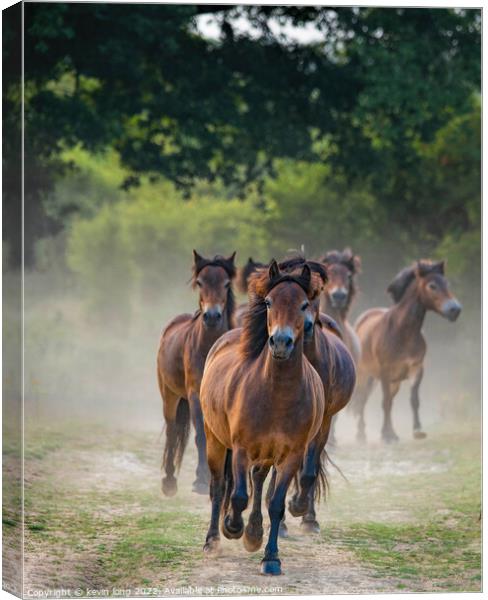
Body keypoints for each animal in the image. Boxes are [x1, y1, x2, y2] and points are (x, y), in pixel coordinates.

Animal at [157, 251, 235, 494]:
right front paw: (201, 478)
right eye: (200, 282)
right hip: (169, 395)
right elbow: (201, 435)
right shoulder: (194, 395)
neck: (209, 346)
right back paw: (169, 480)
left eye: (227, 283)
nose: (212, 316)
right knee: (172, 430)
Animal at [200, 260, 326, 576]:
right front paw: (232, 527)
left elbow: (276, 504)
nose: (280, 342)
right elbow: (238, 496)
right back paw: (213, 539)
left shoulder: (292, 456)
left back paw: (254, 533)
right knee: (219, 486)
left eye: (304, 304)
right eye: (269, 302)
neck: (277, 394)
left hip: (268, 454)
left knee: (258, 481)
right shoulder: (241, 449)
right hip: (214, 440)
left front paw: (270, 557)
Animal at [350, 260, 462, 442]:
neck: (402, 333)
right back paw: (361, 435)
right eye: (432, 285)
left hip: (393, 382)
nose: (455, 310)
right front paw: (388, 435)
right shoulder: (385, 372)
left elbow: (413, 399)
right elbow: (385, 402)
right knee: (362, 400)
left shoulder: (416, 368)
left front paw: (417, 430)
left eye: (447, 283)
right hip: (365, 376)